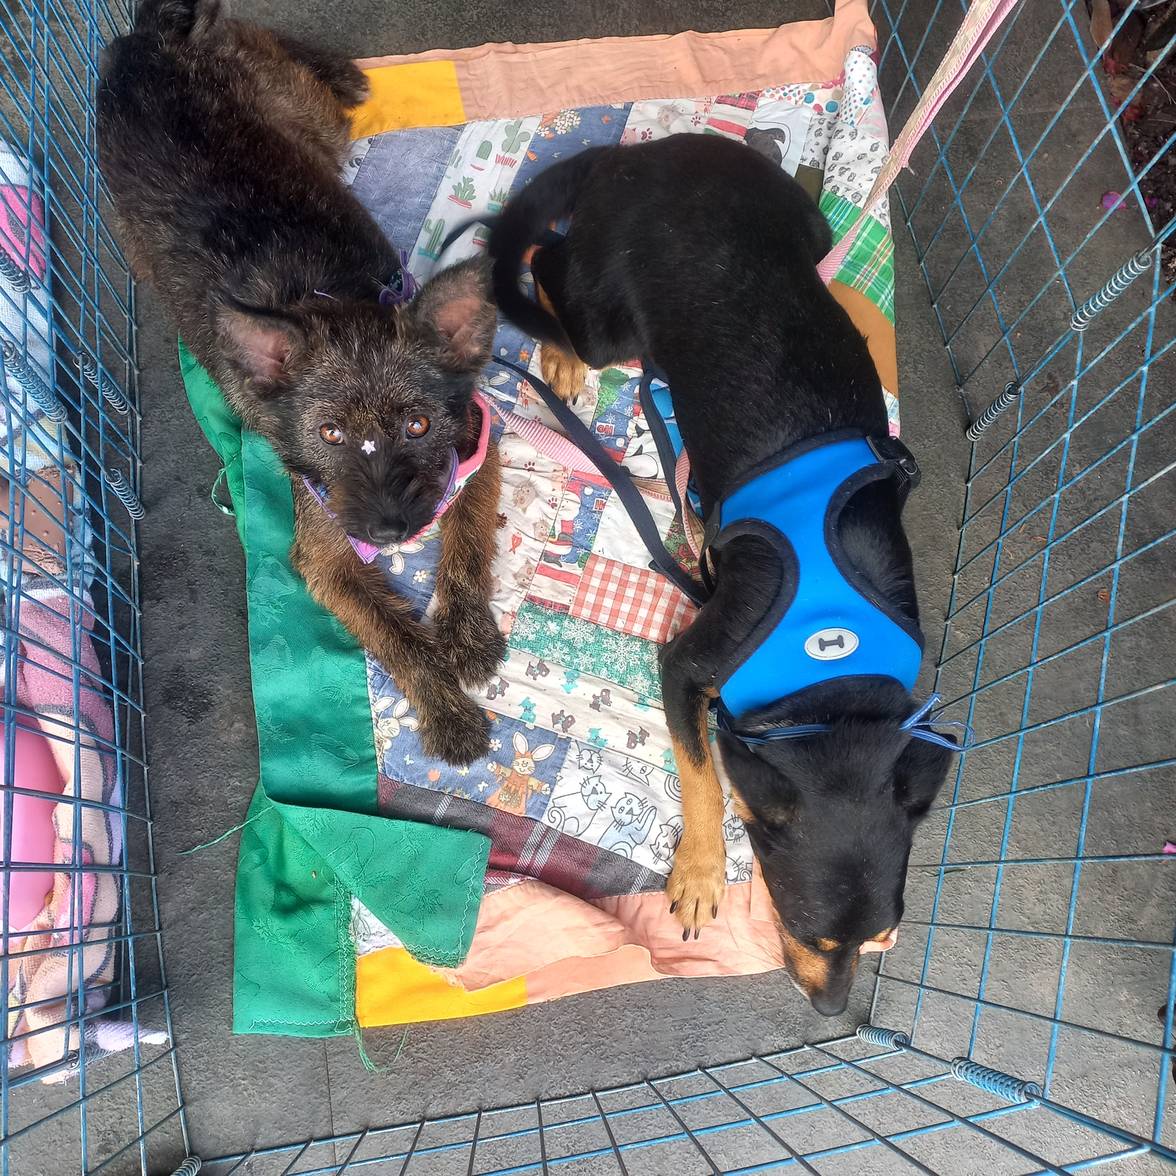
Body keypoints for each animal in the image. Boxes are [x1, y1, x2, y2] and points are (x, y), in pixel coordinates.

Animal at [98, 0, 504, 764]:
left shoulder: (477, 444)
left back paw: (340, 70)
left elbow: (467, 544)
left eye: (418, 424)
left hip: (306, 119)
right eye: (329, 433)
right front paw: (447, 711)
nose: (391, 527)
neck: (336, 304)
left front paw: (466, 634)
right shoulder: (325, 554)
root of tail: (150, 35)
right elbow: (395, 635)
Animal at [489, 135, 952, 1015]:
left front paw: (704, 522)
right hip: (609, 319)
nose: (832, 1012)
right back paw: (558, 348)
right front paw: (702, 874)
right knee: (546, 263)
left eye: (879, 938)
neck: (833, 686)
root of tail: (637, 157)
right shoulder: (686, 666)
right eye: (806, 932)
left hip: (799, 224)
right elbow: (703, 778)